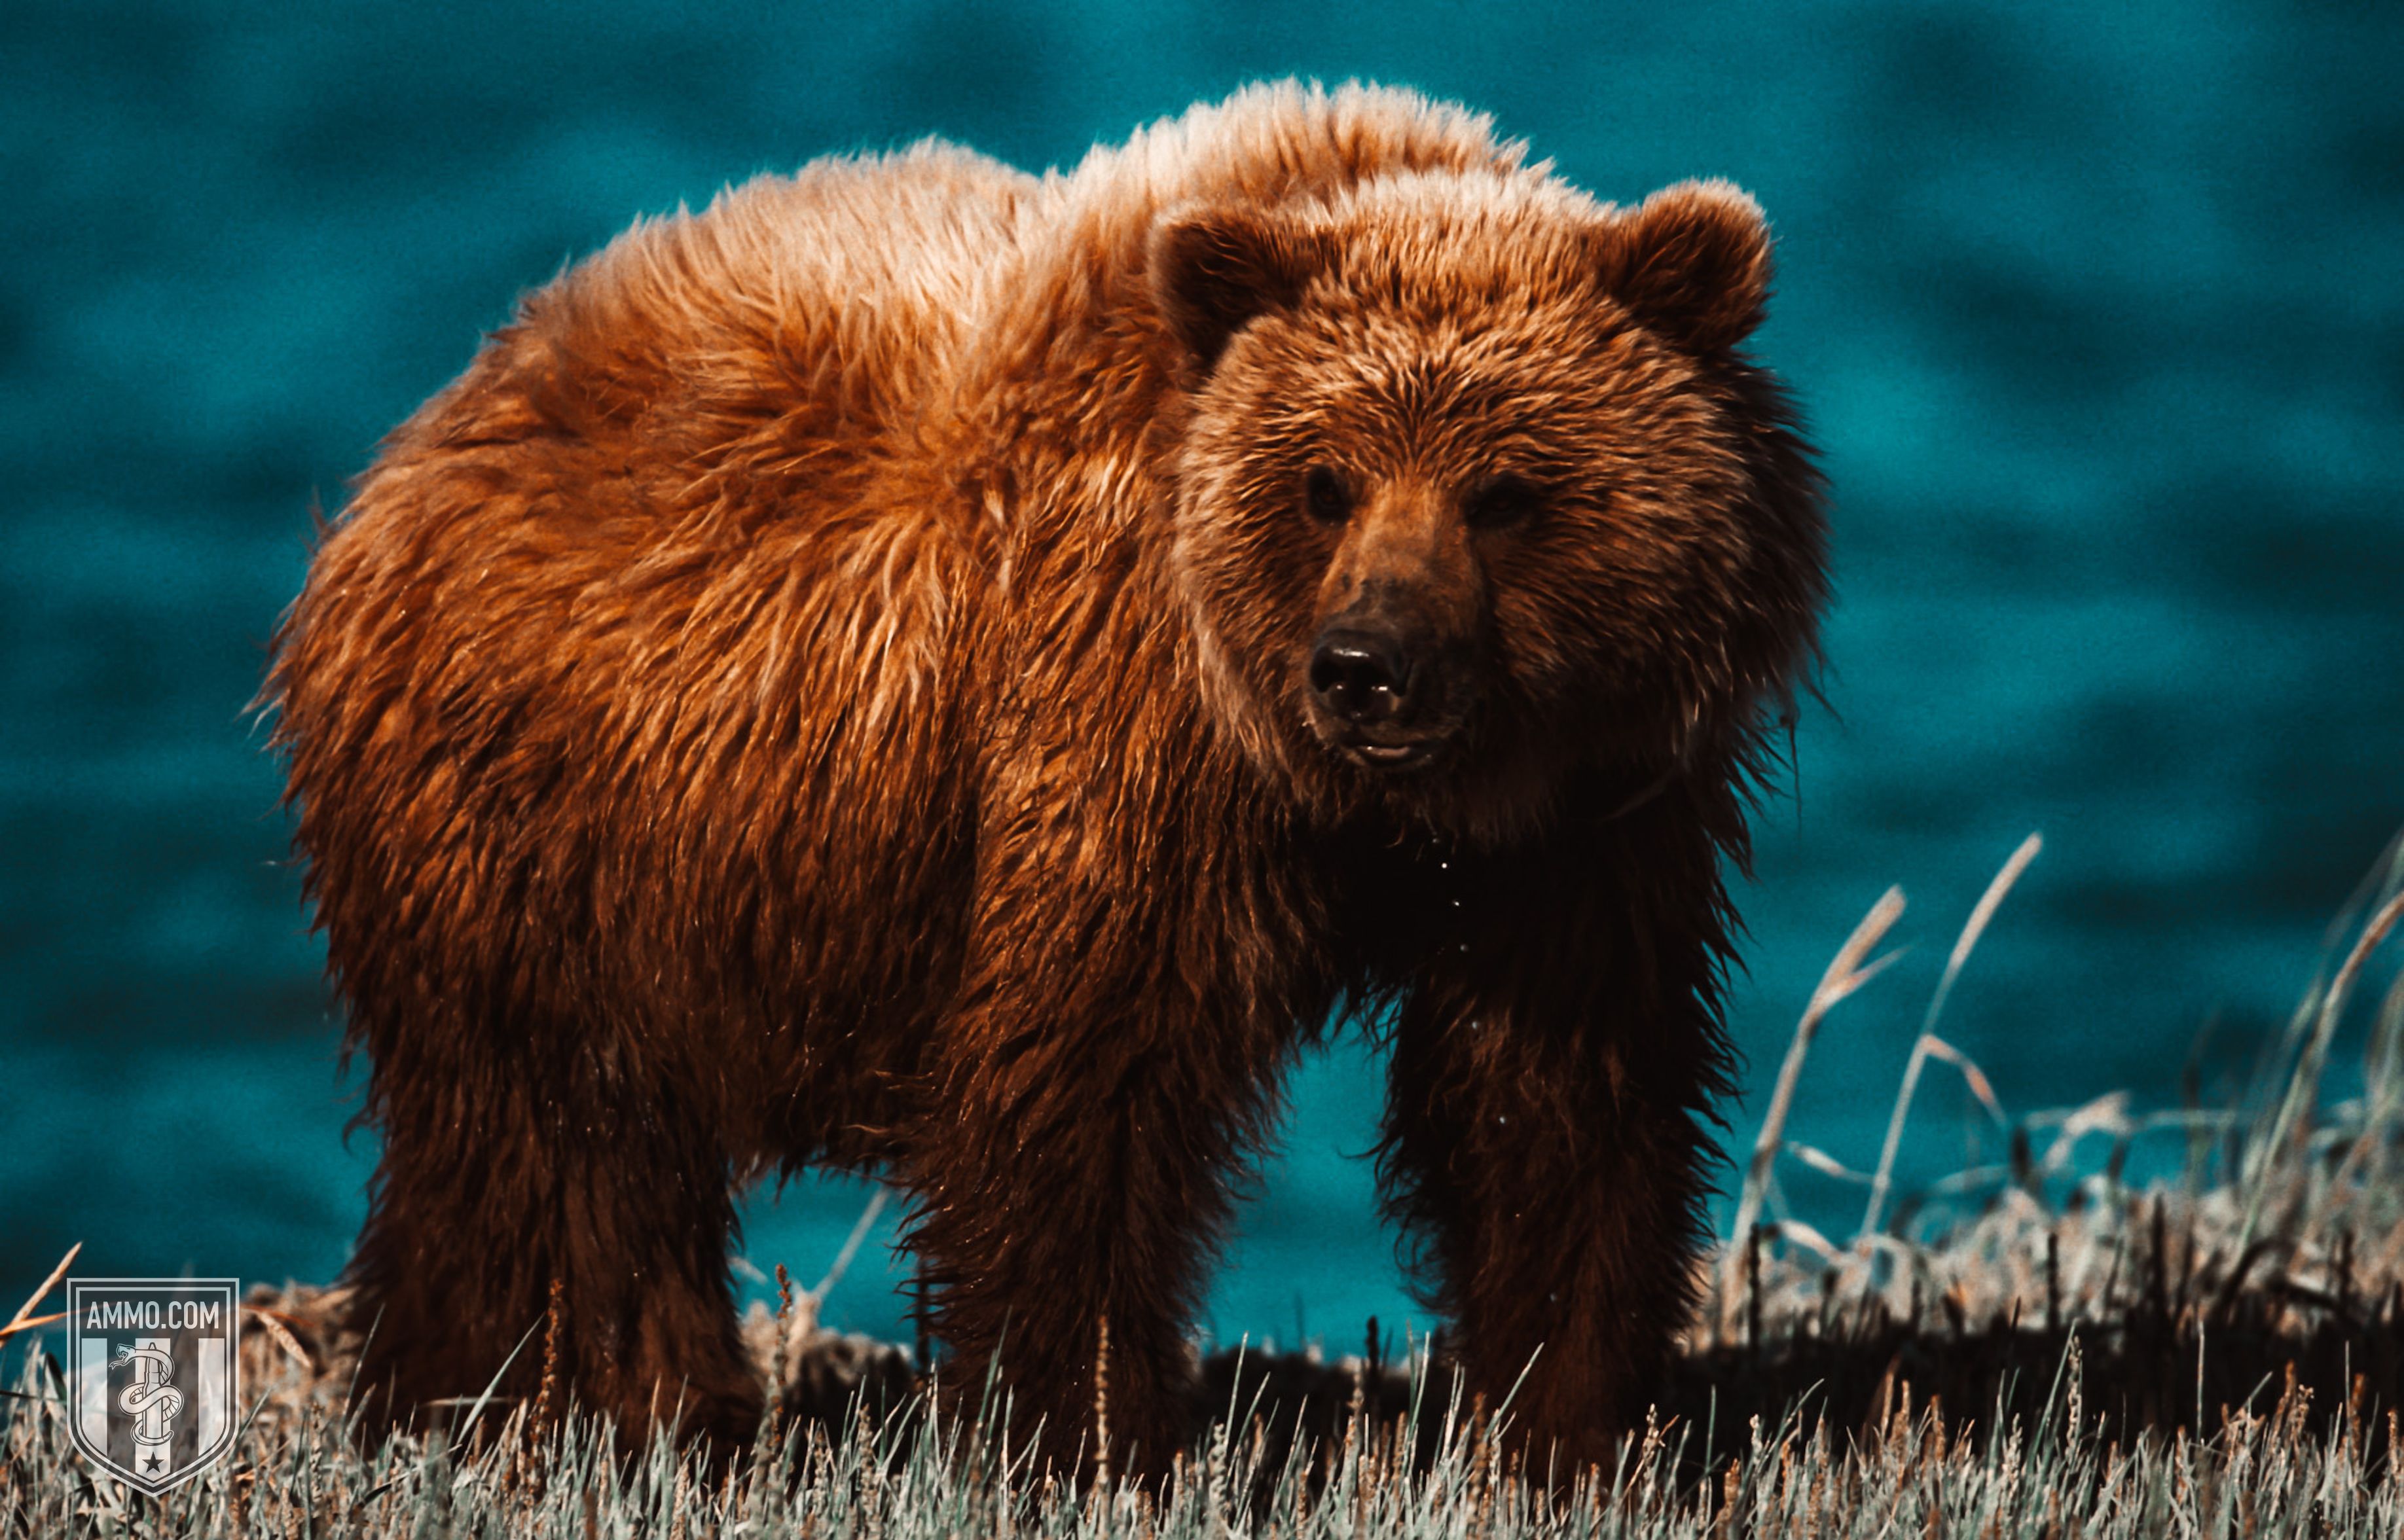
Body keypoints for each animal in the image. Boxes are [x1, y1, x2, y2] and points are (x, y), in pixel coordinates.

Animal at [268, 81, 1817, 1460]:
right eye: (1324, 482)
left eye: (1505, 492)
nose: (1365, 665)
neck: (1363, 803)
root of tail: (420, 437)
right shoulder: (1118, 726)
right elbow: (1082, 1082)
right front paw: (1082, 1428)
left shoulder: (1588, 817)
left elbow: (1557, 1096)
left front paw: (1573, 1419)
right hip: (538, 815)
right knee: (543, 1146)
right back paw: (546, 1404)